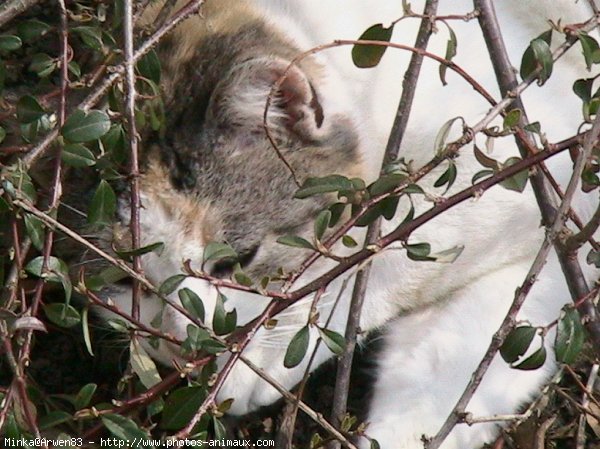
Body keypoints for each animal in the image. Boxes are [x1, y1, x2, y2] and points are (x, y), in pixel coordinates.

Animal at [104, 0, 600, 446]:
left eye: (238, 260)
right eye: (133, 285)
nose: (188, 347)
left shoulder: (539, 165)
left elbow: (386, 256)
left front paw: (259, 359)